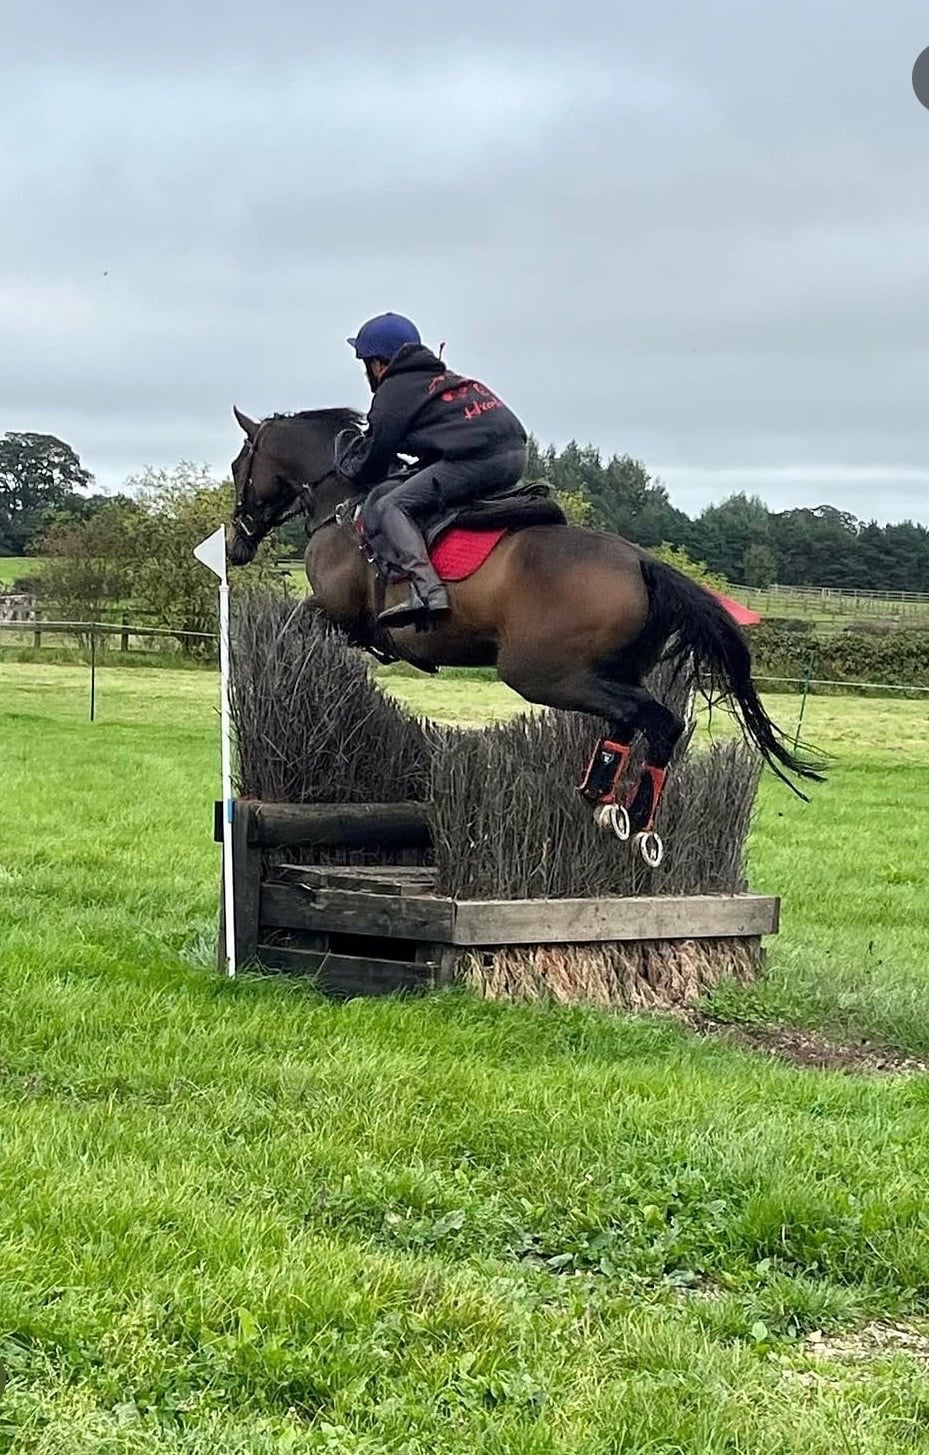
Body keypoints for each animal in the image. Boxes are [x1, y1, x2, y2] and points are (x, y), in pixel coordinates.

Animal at [226, 405, 823, 863]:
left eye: (239, 465)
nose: (236, 545)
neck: (343, 503)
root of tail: (642, 563)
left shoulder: (338, 612)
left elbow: (295, 624)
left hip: (540, 672)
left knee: (651, 718)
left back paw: (626, 812)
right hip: (605, 669)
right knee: (637, 719)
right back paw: (613, 804)